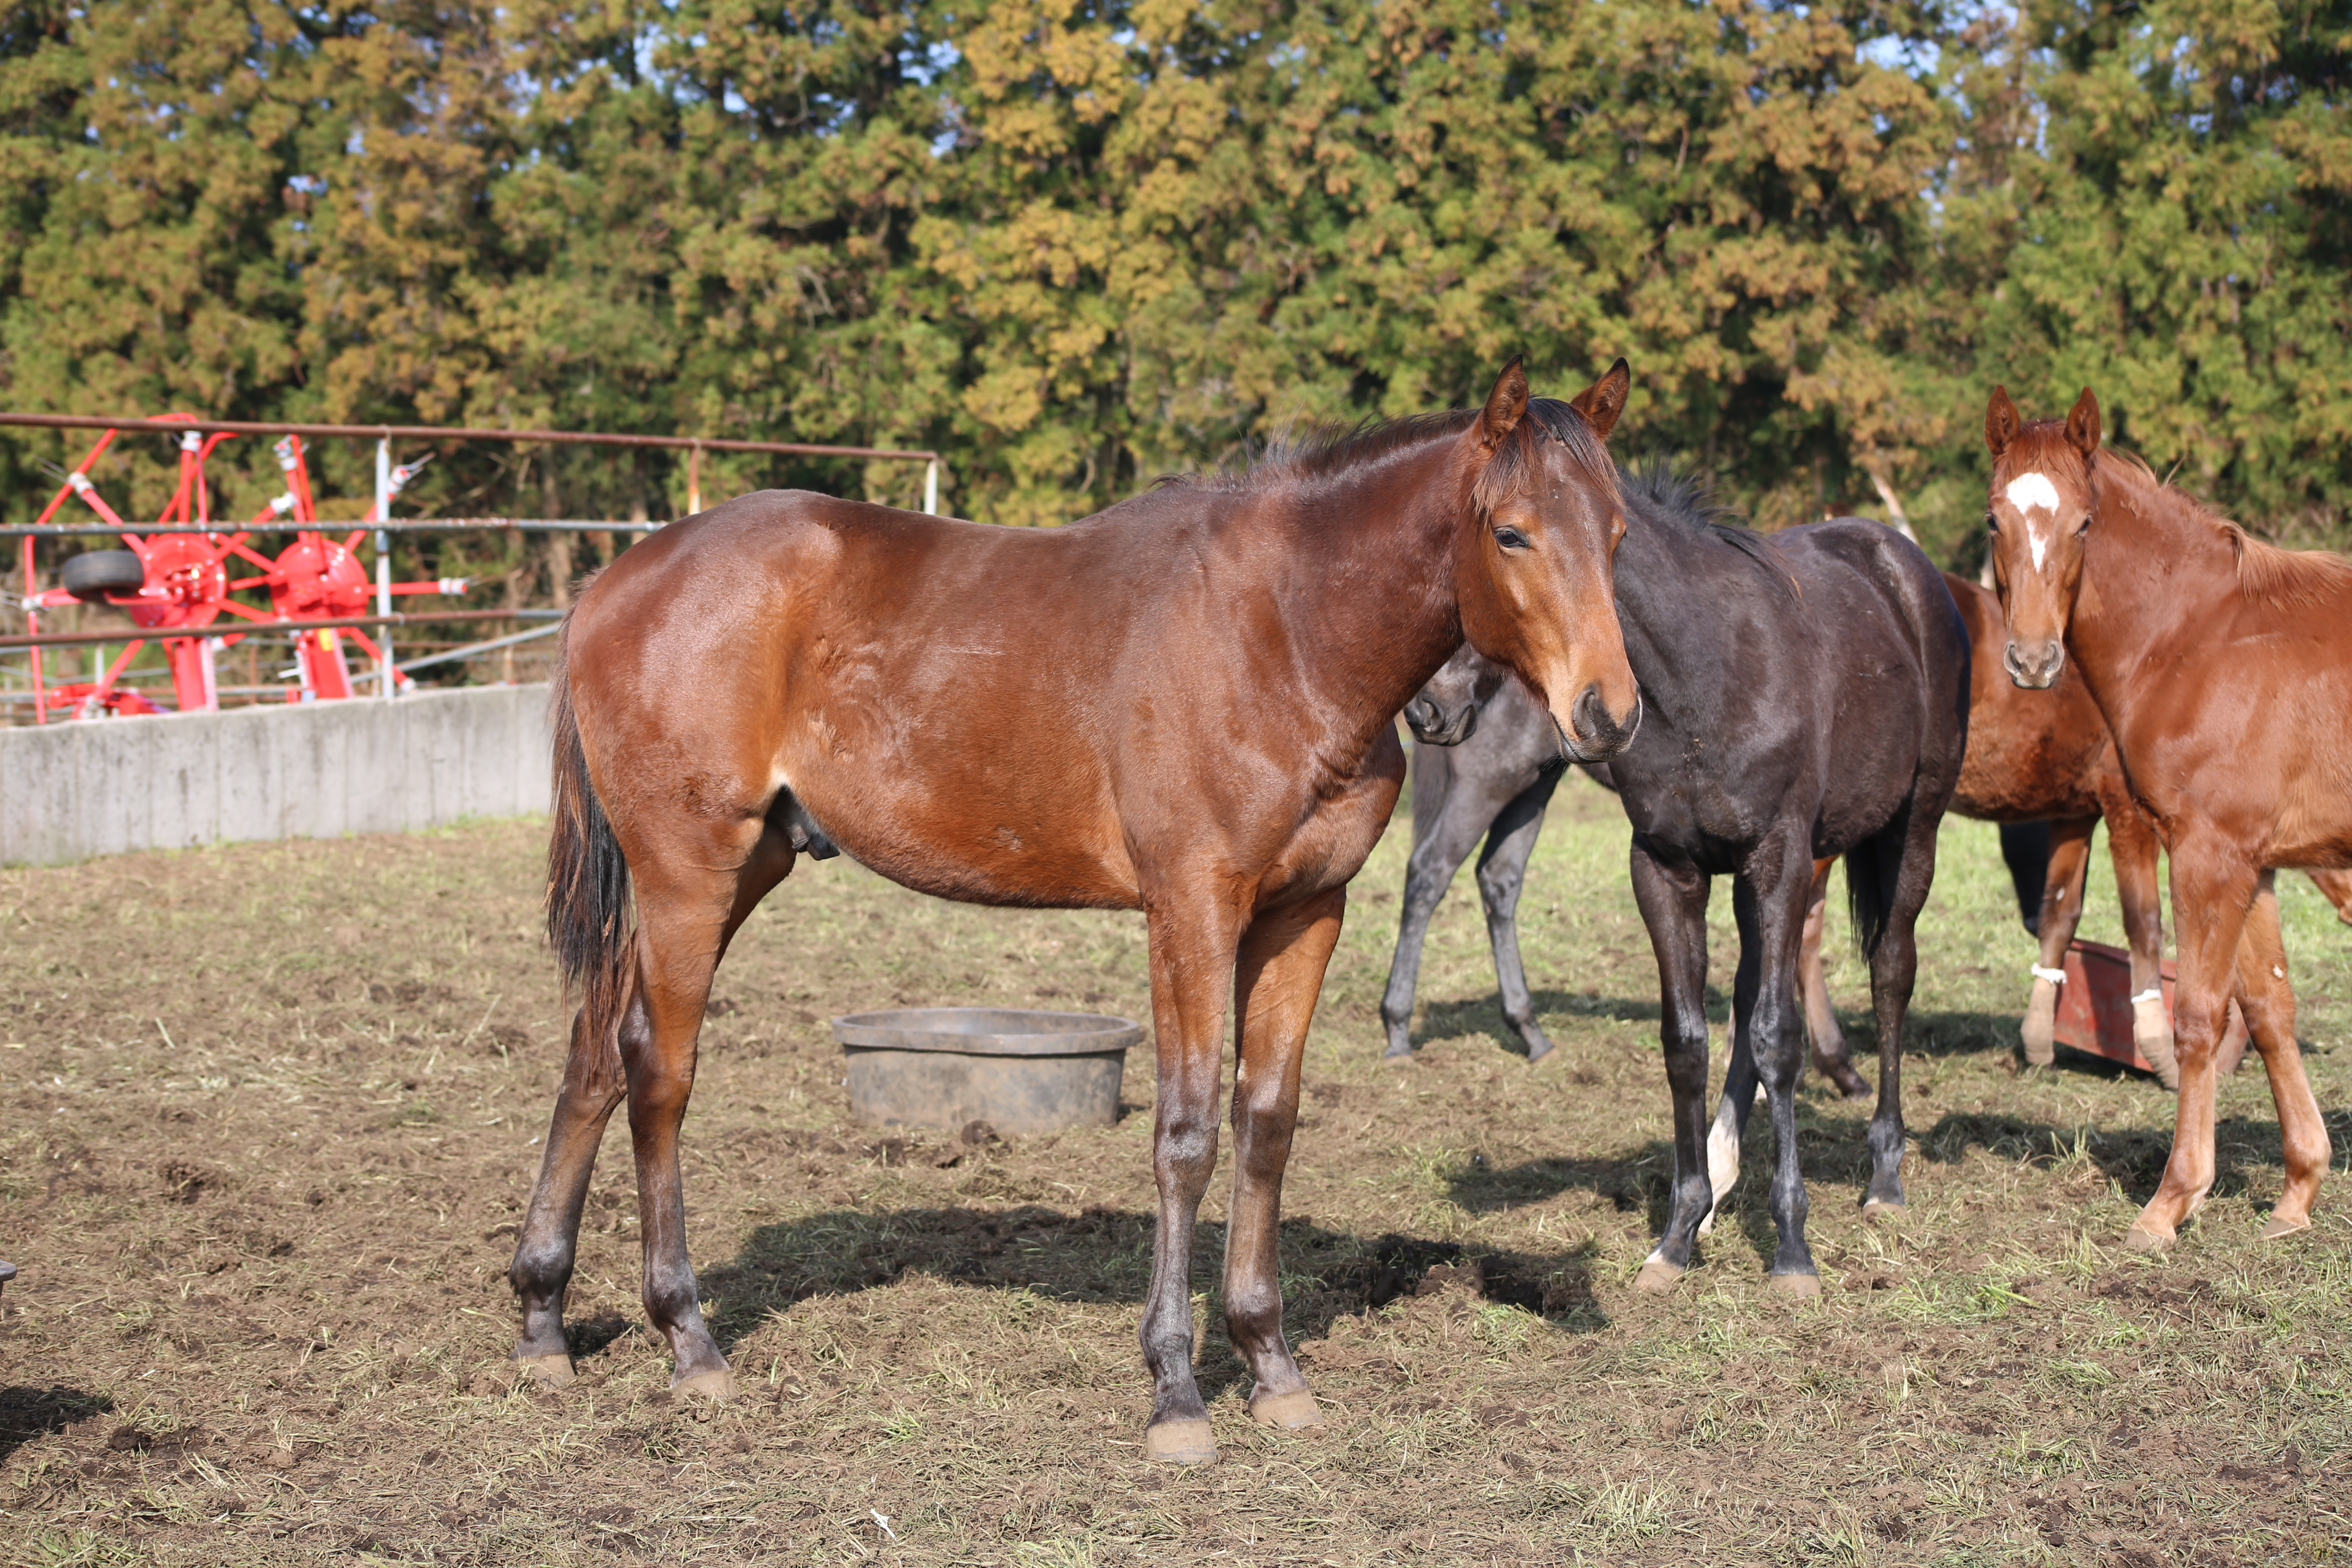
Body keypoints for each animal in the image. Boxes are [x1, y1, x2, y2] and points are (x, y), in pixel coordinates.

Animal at [506, 362, 1646, 1467]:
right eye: (1511, 532)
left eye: (1618, 533)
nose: (1608, 714)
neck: (1279, 633)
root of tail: (616, 581)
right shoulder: (1190, 908)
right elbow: (1185, 1135)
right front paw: (1176, 1392)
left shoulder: (1304, 914)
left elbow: (1265, 1124)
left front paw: (1271, 1364)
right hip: (687, 875)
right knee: (659, 1073)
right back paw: (687, 1338)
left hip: (741, 867)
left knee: (597, 1054)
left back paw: (543, 1318)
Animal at [1392, 470, 1966, 1297]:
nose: (1426, 708)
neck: (1702, 680)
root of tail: (1905, 563)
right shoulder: (1665, 867)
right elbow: (1688, 1039)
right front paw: (1679, 1231)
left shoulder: (1783, 859)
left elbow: (1776, 1035)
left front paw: (1792, 1247)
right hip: (1525, 787)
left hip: (1912, 828)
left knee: (1890, 973)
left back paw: (1884, 1173)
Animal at [1985, 390, 2352, 1250]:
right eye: (1993, 520)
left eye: (2085, 523)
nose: (2033, 663)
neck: (2198, 641)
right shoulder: (2255, 865)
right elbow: (2271, 1011)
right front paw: (2298, 1192)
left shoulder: (2206, 857)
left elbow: (2197, 1018)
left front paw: (2171, 1201)